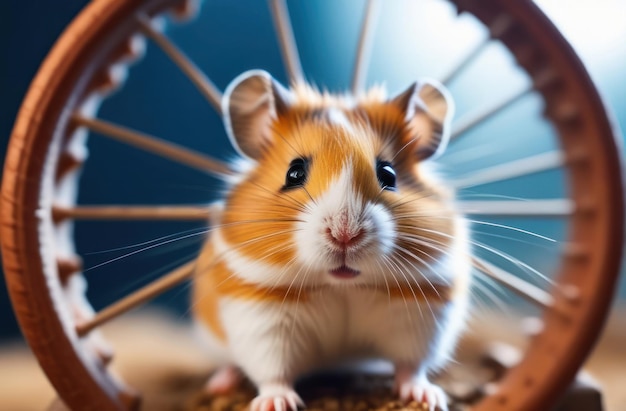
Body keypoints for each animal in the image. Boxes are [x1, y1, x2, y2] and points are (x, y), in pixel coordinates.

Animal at [190, 71, 468, 411]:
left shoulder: (420, 315)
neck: (341, 285)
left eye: (388, 174)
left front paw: (426, 397)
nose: (344, 233)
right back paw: (219, 385)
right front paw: (278, 403)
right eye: (294, 173)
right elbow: (273, 372)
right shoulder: (262, 317)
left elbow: (411, 365)